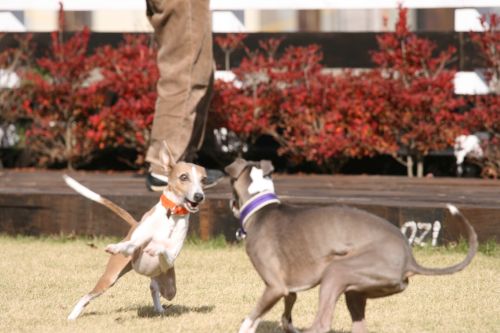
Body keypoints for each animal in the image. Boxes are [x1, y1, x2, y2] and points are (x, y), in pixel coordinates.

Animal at [65, 142, 207, 320]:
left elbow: (164, 250)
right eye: (183, 177)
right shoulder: (136, 246)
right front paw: (117, 247)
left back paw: (159, 308)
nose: (199, 196)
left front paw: (155, 247)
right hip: (110, 277)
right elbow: (133, 245)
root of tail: (134, 223)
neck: (171, 215)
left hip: (168, 285)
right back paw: (72, 315)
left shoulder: (171, 258)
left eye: (204, 180)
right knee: (87, 296)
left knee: (157, 288)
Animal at [226, 158, 476, 332]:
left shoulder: (275, 286)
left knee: (322, 323)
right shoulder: (287, 287)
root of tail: (409, 259)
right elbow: (289, 305)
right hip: (356, 289)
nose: (231, 205)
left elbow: (250, 319)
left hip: (337, 271)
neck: (261, 206)